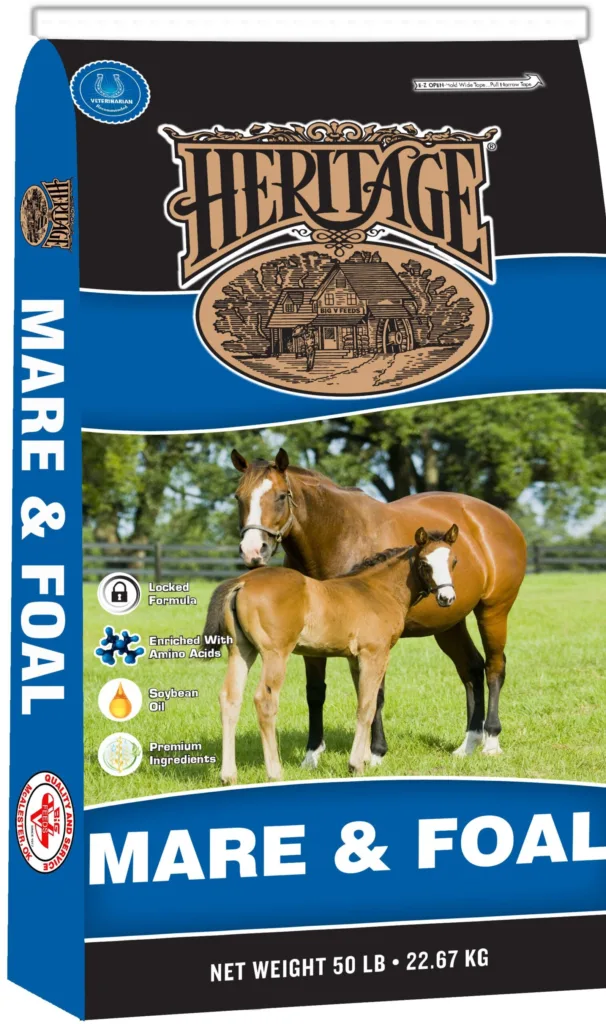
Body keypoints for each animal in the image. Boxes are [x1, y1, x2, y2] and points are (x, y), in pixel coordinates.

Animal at [204, 532, 459, 782]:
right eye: (425, 564)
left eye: (453, 561)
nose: (447, 597)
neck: (378, 590)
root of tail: (242, 582)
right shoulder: (375, 654)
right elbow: (367, 707)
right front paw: (356, 764)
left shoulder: (355, 659)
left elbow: (366, 701)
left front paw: (364, 758)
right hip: (275, 654)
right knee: (264, 701)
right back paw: (275, 773)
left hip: (241, 650)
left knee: (230, 698)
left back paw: (228, 776)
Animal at [231, 447, 527, 762]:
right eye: (239, 496)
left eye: (280, 496)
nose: (252, 551)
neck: (338, 535)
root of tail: (500, 519)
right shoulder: (314, 642)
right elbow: (315, 692)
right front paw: (311, 755)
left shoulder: (373, 642)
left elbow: (375, 694)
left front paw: (374, 753)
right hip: (449, 622)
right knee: (471, 668)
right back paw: (468, 743)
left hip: (493, 611)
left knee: (494, 667)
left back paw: (491, 740)